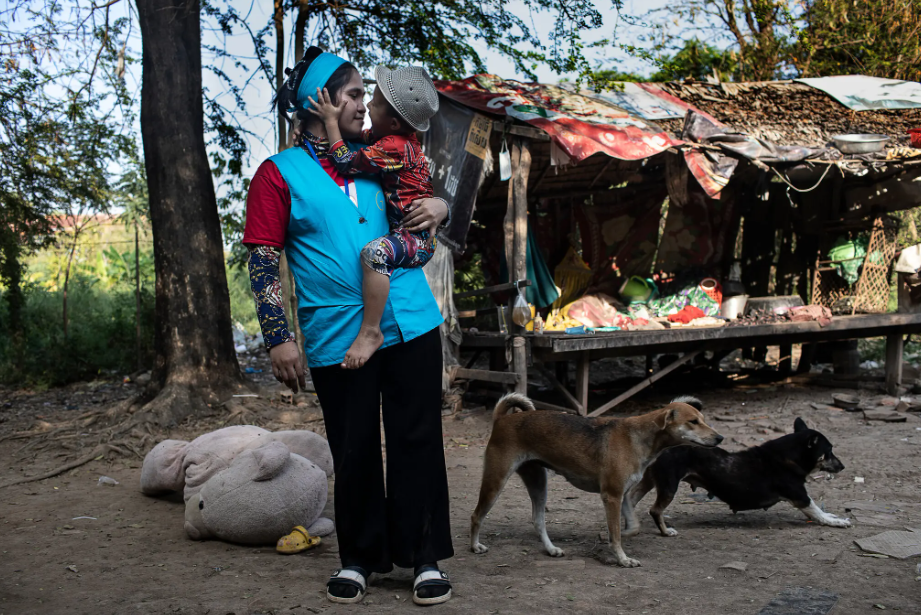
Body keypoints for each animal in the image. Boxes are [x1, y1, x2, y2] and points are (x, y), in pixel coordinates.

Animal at [470, 394, 724, 568]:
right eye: (693, 421)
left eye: (703, 419)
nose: (720, 437)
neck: (641, 437)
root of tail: (501, 419)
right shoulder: (611, 496)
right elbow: (616, 534)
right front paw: (622, 559)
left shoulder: (623, 495)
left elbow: (633, 527)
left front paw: (616, 536)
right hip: (495, 481)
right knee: (476, 516)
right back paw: (475, 546)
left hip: (538, 483)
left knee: (538, 520)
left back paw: (551, 549)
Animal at [620, 416, 852, 536]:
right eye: (829, 451)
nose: (843, 466)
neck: (790, 455)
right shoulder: (799, 496)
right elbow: (816, 510)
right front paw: (836, 522)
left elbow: (820, 510)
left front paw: (833, 517)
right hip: (668, 485)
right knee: (655, 510)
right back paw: (665, 531)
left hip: (651, 480)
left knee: (629, 499)